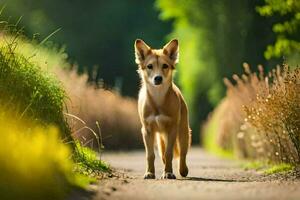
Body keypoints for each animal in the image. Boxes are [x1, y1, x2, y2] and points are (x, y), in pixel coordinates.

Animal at [134, 39, 191, 180]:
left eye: (165, 66)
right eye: (149, 66)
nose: (158, 78)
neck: (158, 99)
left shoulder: (172, 129)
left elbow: (170, 153)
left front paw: (169, 173)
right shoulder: (147, 130)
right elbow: (150, 155)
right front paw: (150, 172)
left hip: (183, 132)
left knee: (182, 153)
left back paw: (183, 170)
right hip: (160, 139)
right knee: (163, 154)